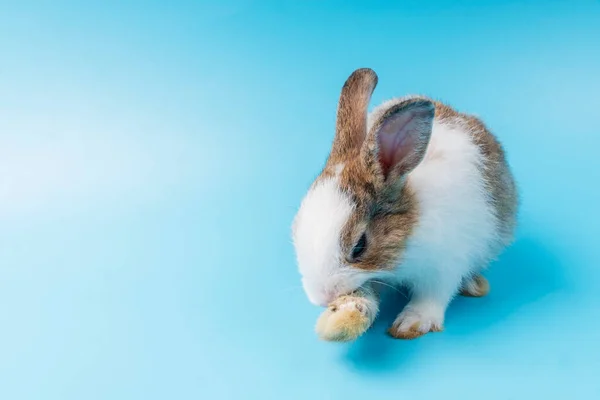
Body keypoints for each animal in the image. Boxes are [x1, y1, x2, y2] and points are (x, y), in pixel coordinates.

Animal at [290, 67, 516, 340]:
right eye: (296, 228)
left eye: (359, 247)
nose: (322, 297)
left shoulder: (445, 265)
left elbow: (433, 295)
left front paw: (411, 324)